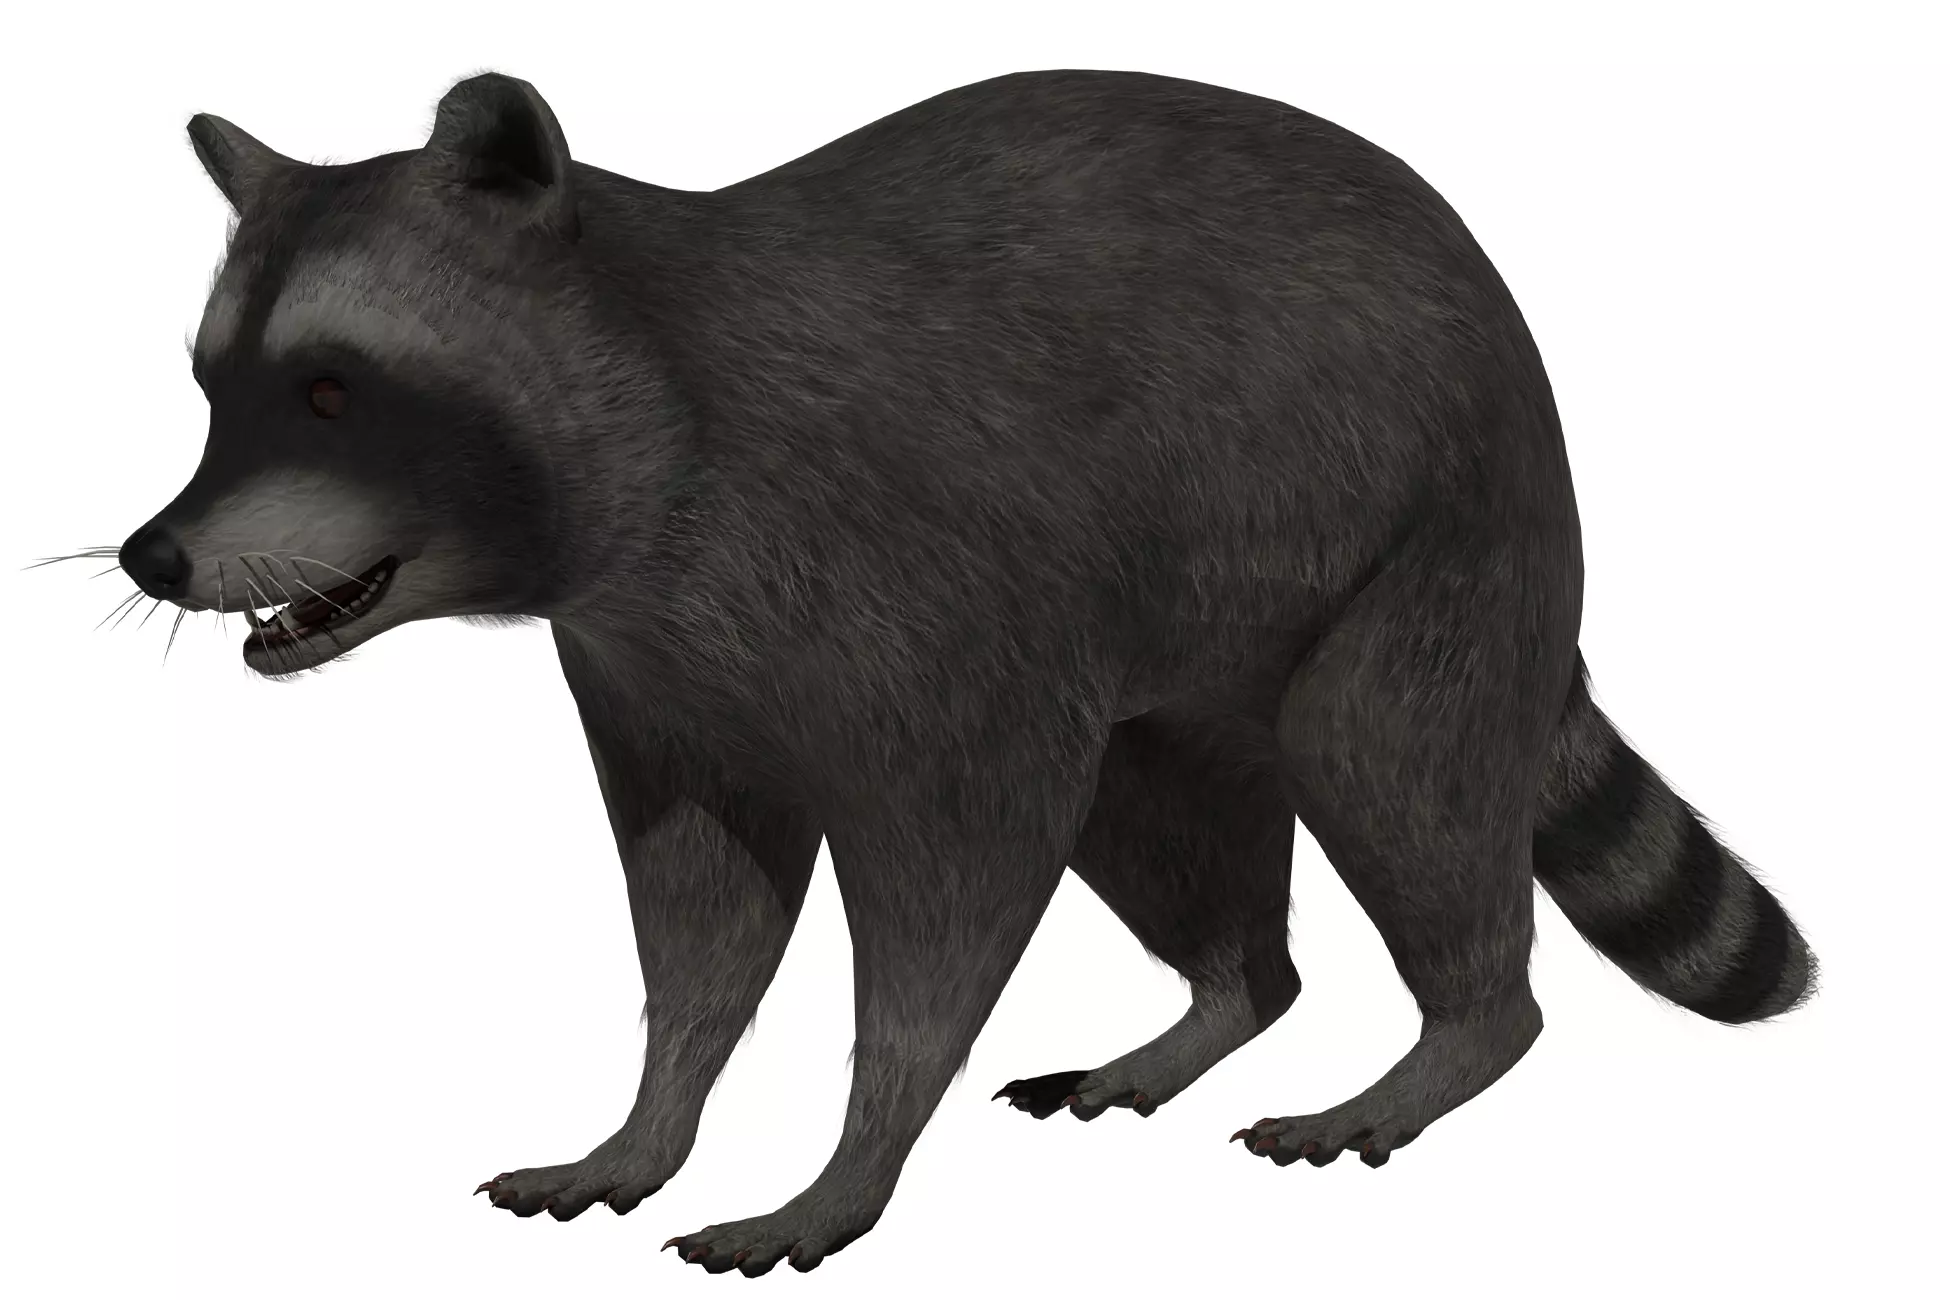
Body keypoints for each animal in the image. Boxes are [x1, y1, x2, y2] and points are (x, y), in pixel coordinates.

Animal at [117, 69, 1815, 1275]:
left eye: (331, 392)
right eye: (210, 386)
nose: (152, 556)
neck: (656, 381)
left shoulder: (930, 592)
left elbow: (953, 886)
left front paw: (854, 1153)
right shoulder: (662, 679)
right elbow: (701, 913)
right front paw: (655, 1115)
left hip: (1427, 536)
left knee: (1390, 766)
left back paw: (1451, 1036)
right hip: (1184, 657)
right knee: (1166, 821)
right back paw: (1218, 999)